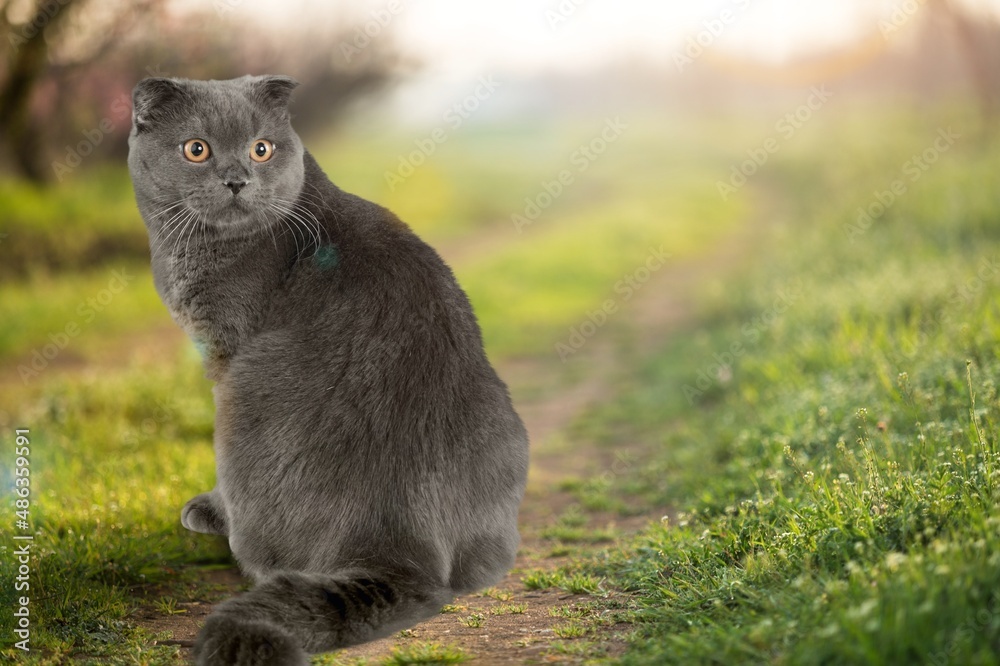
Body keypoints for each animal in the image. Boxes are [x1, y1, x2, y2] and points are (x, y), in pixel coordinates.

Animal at [127, 75, 532, 660]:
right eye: (196, 149)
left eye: (261, 148)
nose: (237, 180)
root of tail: (405, 545)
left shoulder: (225, 353)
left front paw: (207, 507)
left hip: (243, 397)